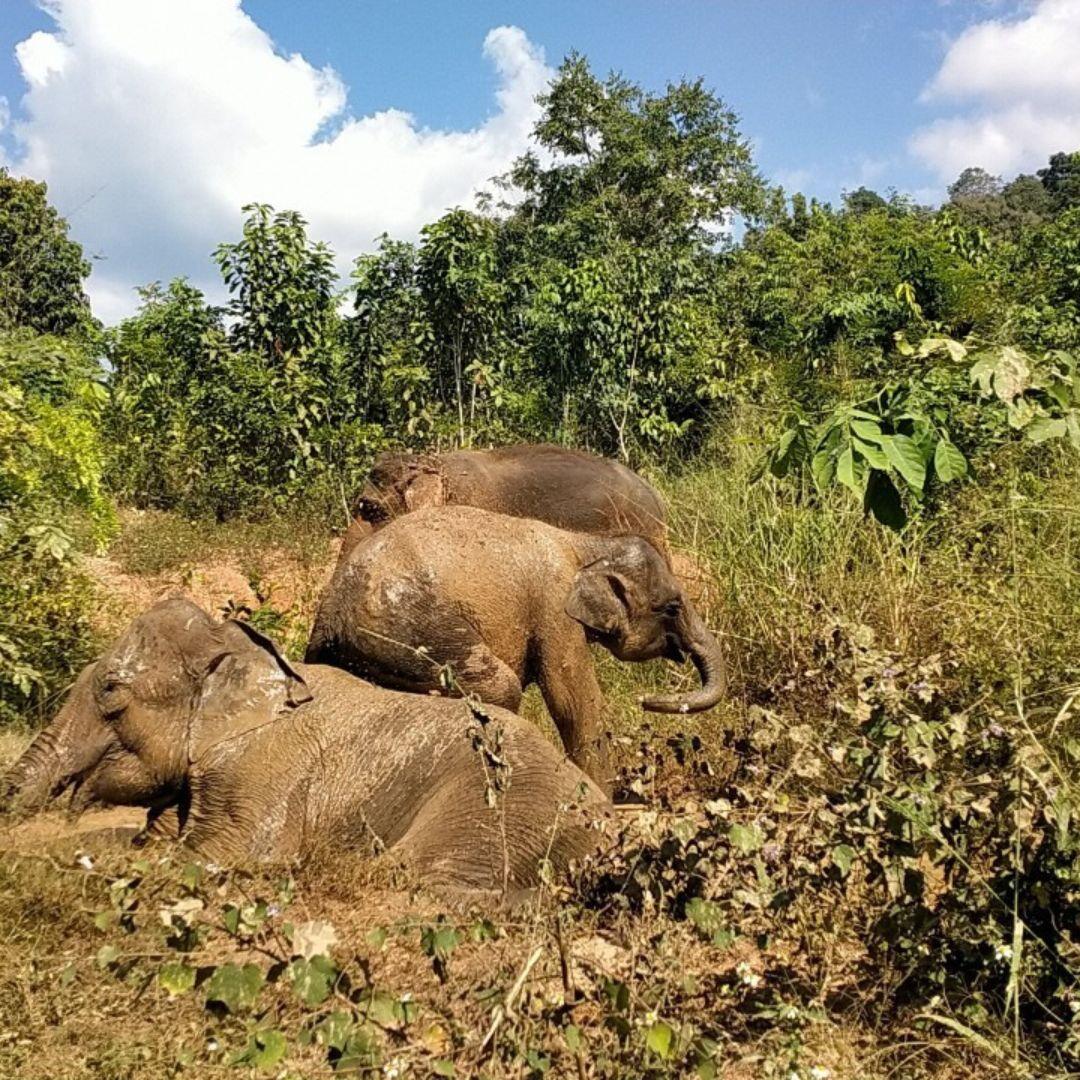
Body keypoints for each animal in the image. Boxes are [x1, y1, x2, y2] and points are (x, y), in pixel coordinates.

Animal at [305, 506, 727, 788]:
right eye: (672, 607)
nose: (646, 700)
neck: (584, 542)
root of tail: (335, 614)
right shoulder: (555, 607)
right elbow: (574, 699)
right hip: (409, 632)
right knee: (499, 689)